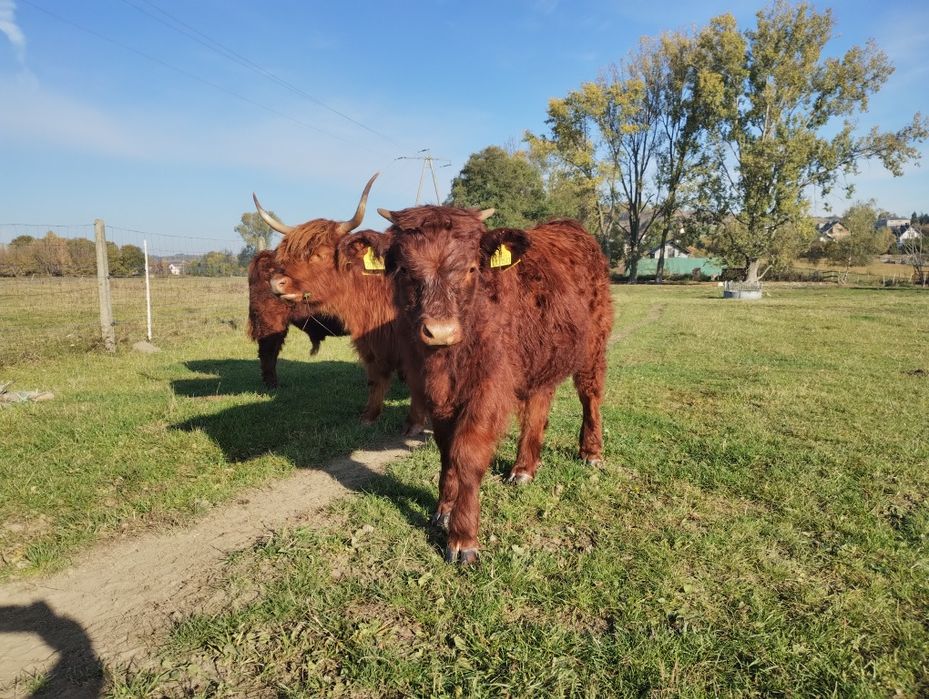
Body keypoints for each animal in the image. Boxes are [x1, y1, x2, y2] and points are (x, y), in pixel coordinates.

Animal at [342, 205, 612, 564]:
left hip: (594, 345)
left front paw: (462, 538)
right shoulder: (437, 395)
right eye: (404, 270)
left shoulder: (488, 392)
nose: (440, 331)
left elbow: (467, 455)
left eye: (471, 268)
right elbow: (447, 451)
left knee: (590, 395)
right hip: (542, 357)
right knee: (538, 407)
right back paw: (524, 468)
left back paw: (591, 452)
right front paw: (443, 509)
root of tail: (569, 227)